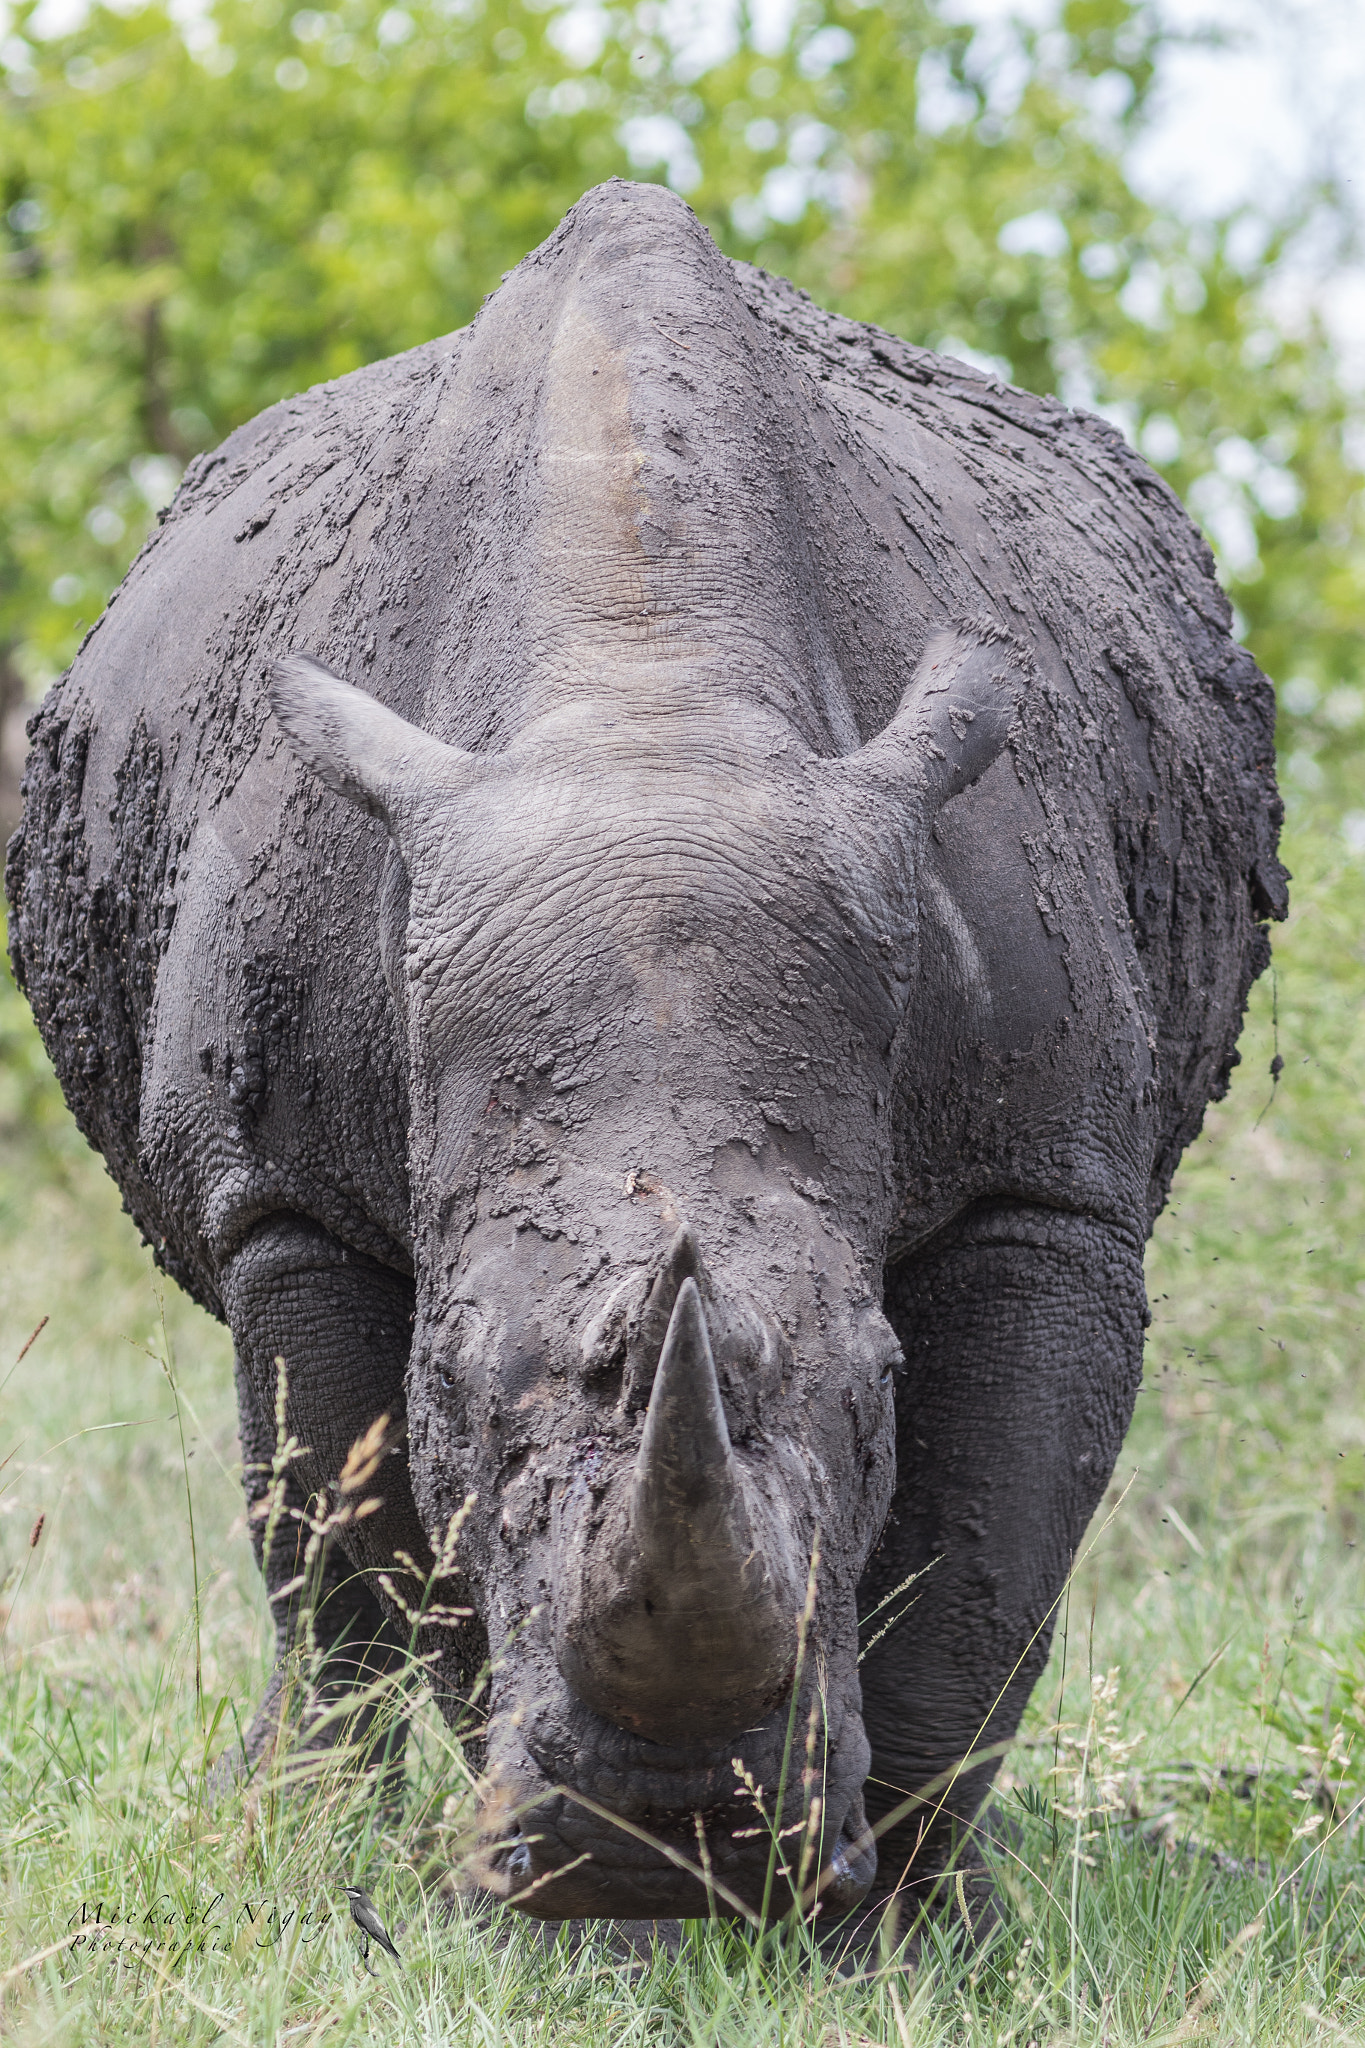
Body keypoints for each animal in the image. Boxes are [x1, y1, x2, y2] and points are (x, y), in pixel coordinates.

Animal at [6, 179, 1285, 1934]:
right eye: (452, 1382)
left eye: (880, 1383)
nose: (669, 1834)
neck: (647, 711)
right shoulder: (283, 1192)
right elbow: (352, 1539)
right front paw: (524, 1899)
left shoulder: (1048, 1186)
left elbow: (982, 1571)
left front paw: (913, 1929)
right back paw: (280, 1819)